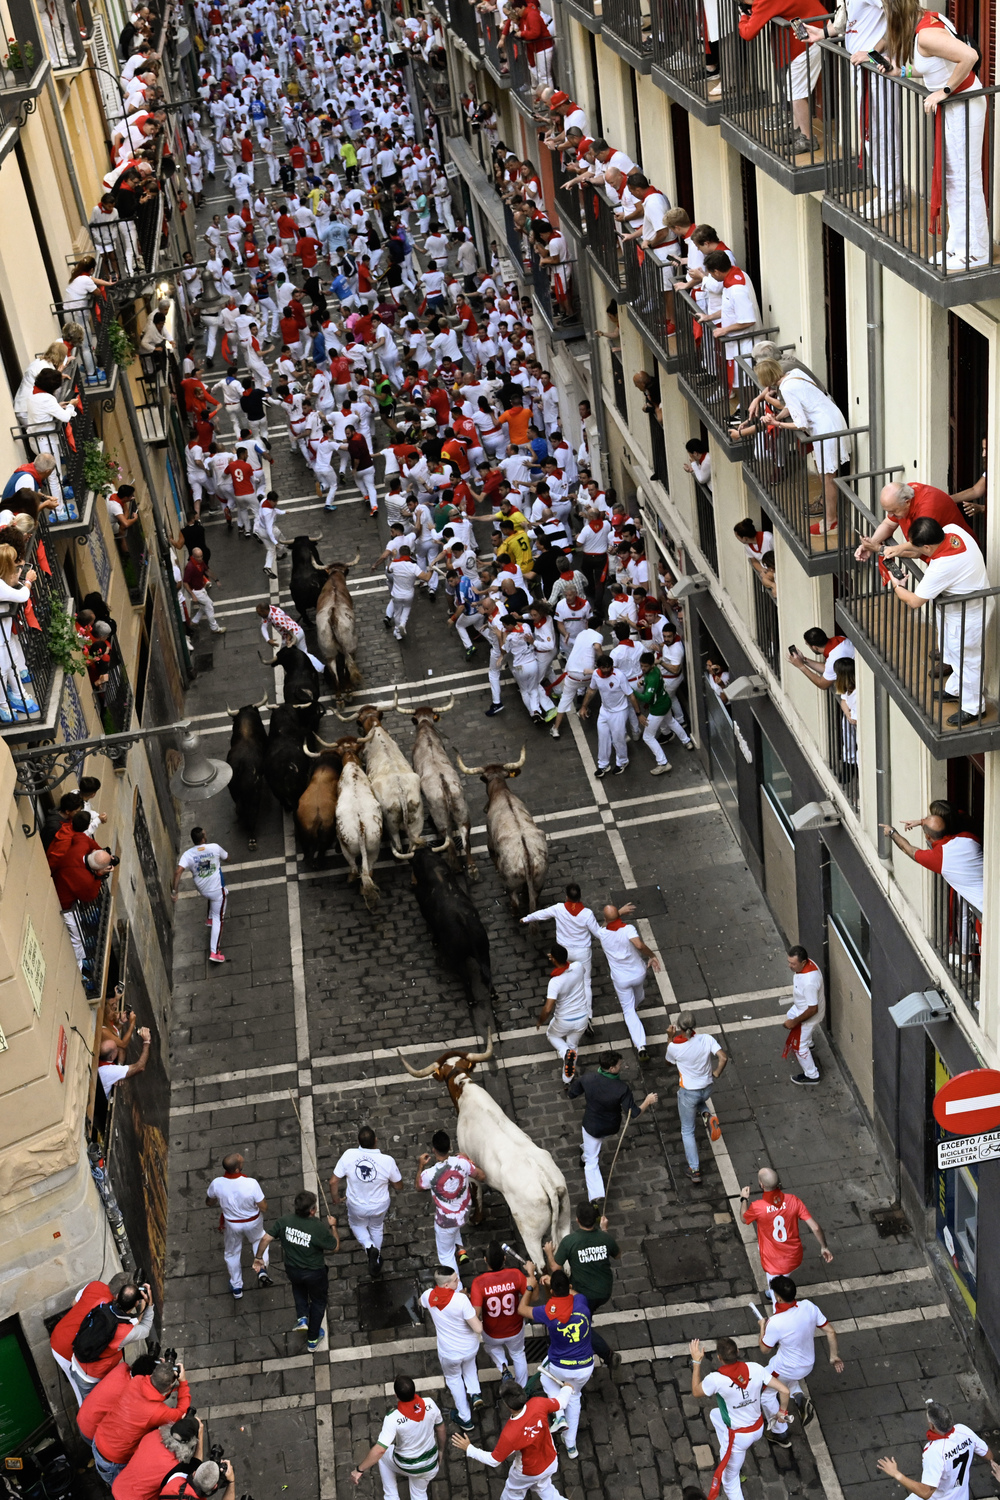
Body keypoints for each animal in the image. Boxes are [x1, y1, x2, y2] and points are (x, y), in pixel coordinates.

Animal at [398, 1044, 569, 1266]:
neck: (465, 1088)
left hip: (530, 1232)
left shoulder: (469, 1164)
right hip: (565, 1222)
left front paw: (476, 1219)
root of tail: (546, 1182)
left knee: (540, 1265)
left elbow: (476, 1193)